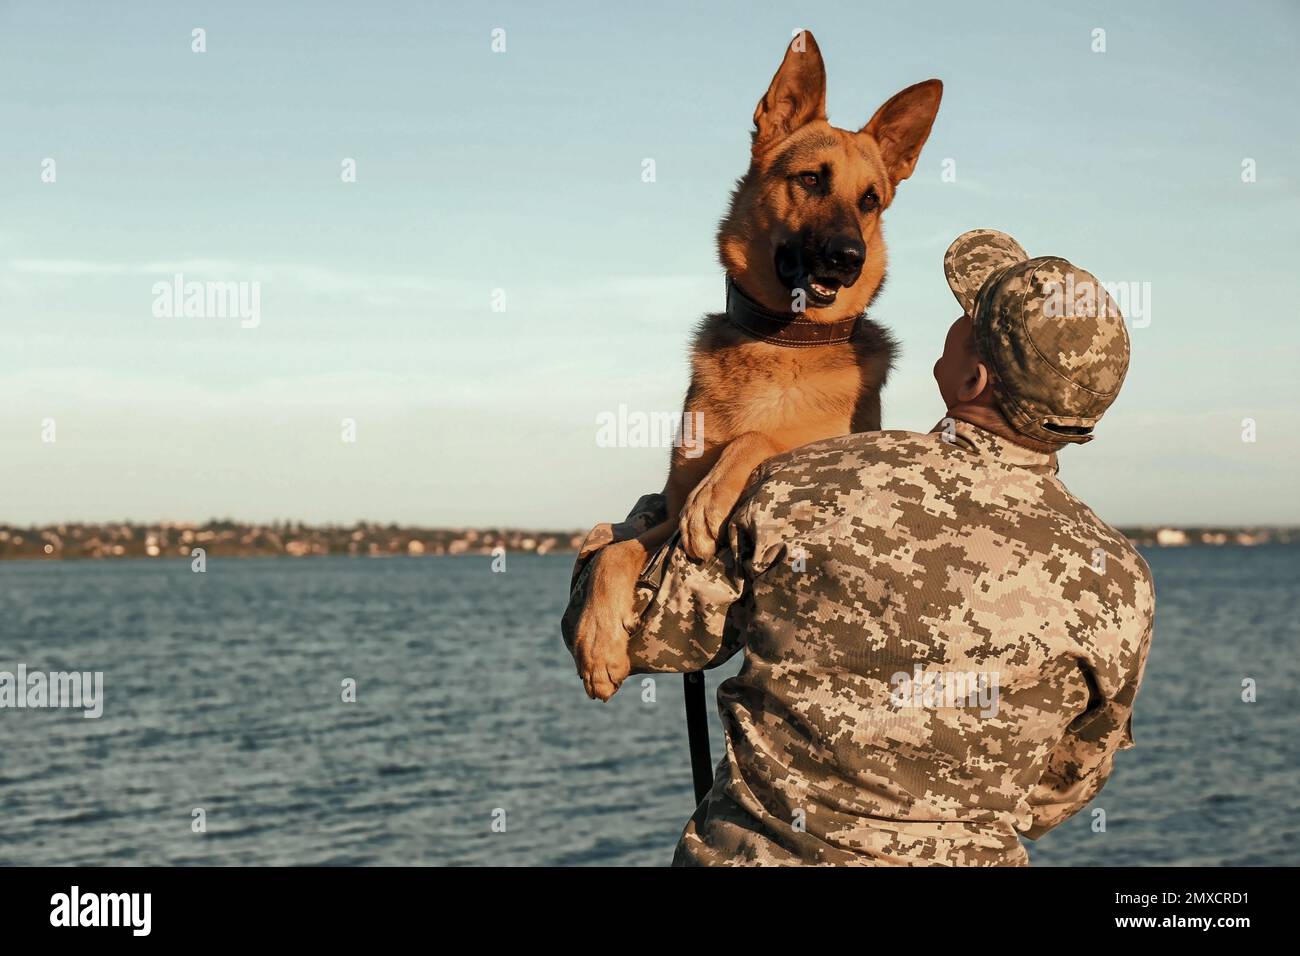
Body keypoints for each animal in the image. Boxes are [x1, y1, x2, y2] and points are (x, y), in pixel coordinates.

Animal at [574, 31, 941, 702]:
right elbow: (616, 551)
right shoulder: (663, 522)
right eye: (810, 179)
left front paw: (716, 493)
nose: (849, 257)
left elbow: (758, 438)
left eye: (870, 201)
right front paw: (597, 642)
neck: (785, 342)